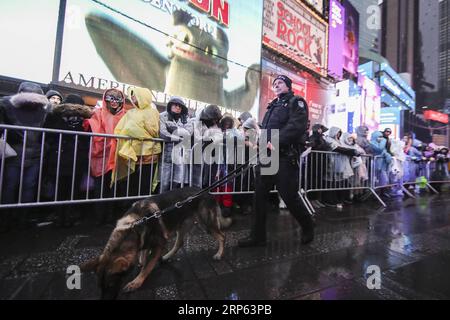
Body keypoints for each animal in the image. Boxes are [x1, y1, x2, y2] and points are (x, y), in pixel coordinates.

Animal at [79, 186, 232, 298]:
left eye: (111, 285)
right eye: (100, 286)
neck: (133, 227)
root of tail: (207, 192)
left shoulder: (159, 245)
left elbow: (147, 267)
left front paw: (136, 282)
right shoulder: (144, 242)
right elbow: (143, 255)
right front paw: (141, 262)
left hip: (206, 223)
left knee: (222, 235)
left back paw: (219, 254)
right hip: (181, 226)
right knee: (179, 243)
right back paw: (166, 257)